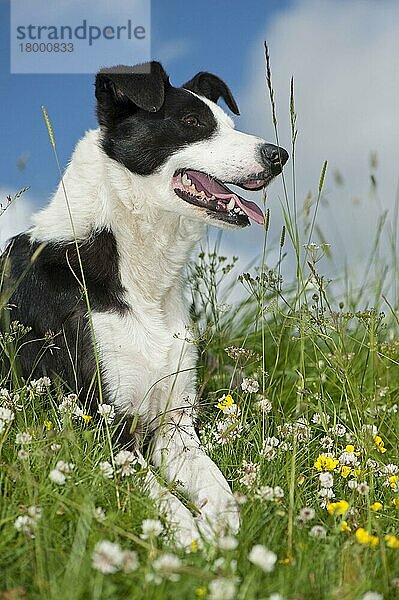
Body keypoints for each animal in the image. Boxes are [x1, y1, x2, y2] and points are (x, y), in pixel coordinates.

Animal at [3, 63, 288, 548]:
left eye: (229, 125)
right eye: (192, 122)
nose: (279, 155)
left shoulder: (176, 427)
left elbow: (221, 492)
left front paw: (223, 538)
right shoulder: (105, 426)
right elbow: (163, 499)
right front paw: (188, 536)